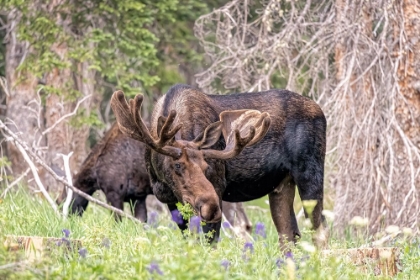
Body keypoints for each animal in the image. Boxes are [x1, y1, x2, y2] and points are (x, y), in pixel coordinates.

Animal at [111, 83, 328, 249]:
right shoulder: (170, 199)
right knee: (289, 234)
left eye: (206, 166)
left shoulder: (217, 186)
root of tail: (321, 111)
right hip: (281, 185)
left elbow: (211, 242)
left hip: (311, 173)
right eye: (177, 166)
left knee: (320, 229)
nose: (211, 207)